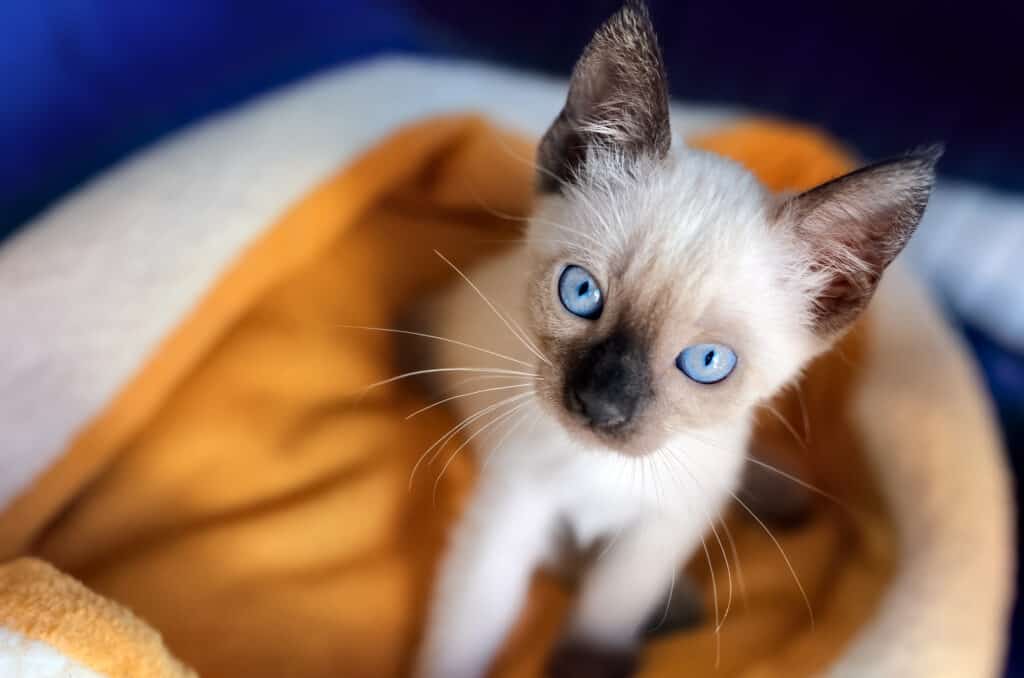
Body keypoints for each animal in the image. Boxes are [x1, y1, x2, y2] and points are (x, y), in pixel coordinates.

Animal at [413, 2, 937, 675]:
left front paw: (591, 661)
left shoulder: (663, 528)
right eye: (580, 292)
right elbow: (472, 628)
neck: (602, 474)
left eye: (707, 362)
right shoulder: (511, 510)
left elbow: (609, 609)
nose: (600, 405)